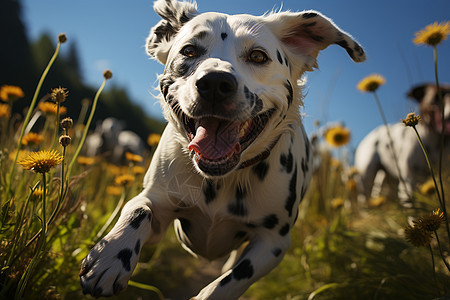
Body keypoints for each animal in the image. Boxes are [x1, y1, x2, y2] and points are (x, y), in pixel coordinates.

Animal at [79, 1, 364, 298]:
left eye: (258, 56)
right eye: (189, 51)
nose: (215, 83)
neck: (221, 180)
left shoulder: (273, 243)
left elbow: (231, 280)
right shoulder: (158, 201)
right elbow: (138, 208)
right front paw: (111, 255)